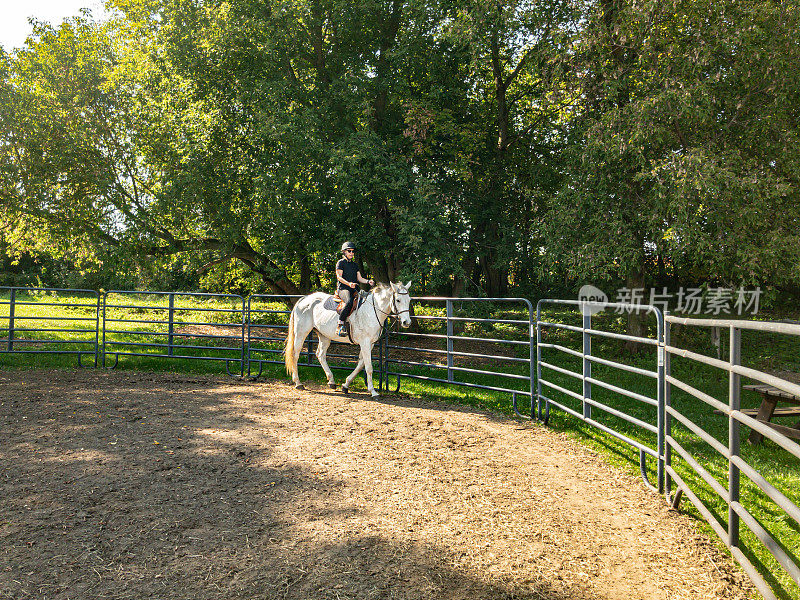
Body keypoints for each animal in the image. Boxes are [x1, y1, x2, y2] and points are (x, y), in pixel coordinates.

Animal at [284, 282, 412, 396]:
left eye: (409, 300)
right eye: (398, 300)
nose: (407, 322)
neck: (372, 310)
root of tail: (304, 299)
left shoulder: (369, 344)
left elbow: (361, 364)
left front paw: (346, 385)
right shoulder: (365, 343)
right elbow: (369, 367)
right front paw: (373, 391)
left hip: (324, 336)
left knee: (320, 354)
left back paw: (331, 381)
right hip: (301, 333)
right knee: (295, 354)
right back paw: (298, 383)